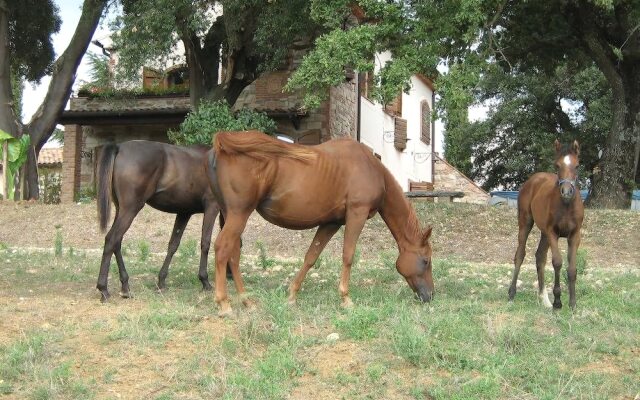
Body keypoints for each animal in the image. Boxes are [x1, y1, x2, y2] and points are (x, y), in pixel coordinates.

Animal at [95, 140, 225, 300]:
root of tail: (119, 147)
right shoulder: (212, 207)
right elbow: (205, 243)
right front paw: (205, 280)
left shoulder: (184, 212)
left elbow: (173, 245)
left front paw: (161, 281)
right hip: (130, 209)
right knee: (111, 240)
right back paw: (104, 289)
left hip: (121, 210)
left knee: (117, 242)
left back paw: (125, 286)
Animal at [206, 130, 436, 316]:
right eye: (426, 260)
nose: (430, 296)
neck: (371, 168)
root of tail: (222, 147)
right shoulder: (357, 214)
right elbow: (348, 255)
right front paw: (345, 298)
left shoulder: (331, 223)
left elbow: (311, 257)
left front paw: (292, 295)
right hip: (239, 214)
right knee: (223, 248)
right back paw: (224, 303)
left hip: (230, 215)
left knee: (233, 255)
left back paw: (247, 301)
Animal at [510, 139, 584, 310]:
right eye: (557, 165)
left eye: (577, 166)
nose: (566, 192)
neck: (566, 206)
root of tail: (534, 178)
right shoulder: (553, 233)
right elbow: (557, 262)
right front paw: (558, 301)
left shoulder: (574, 235)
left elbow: (572, 269)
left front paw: (572, 304)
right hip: (526, 223)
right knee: (520, 254)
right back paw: (511, 292)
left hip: (544, 233)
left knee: (540, 257)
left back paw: (544, 299)